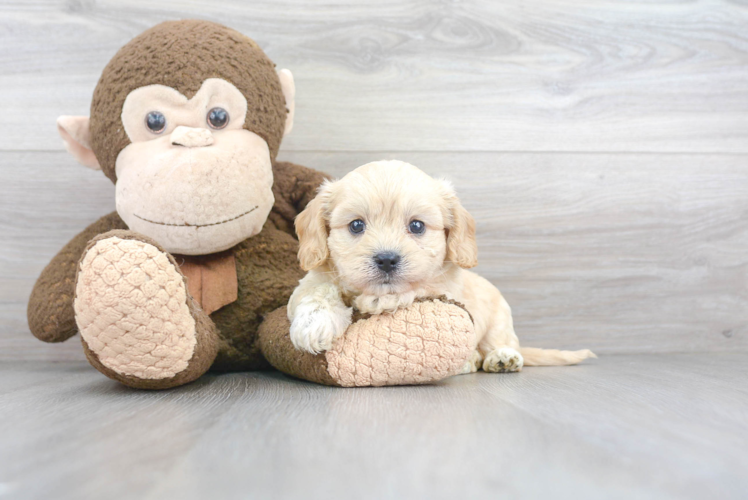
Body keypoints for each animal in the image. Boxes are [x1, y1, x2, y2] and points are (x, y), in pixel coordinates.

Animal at [288, 160, 596, 372]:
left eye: (416, 226)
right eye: (356, 225)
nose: (387, 259)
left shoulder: (445, 288)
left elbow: (420, 286)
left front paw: (380, 300)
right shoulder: (313, 278)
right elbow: (317, 291)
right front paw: (314, 324)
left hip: (499, 321)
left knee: (497, 344)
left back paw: (500, 358)